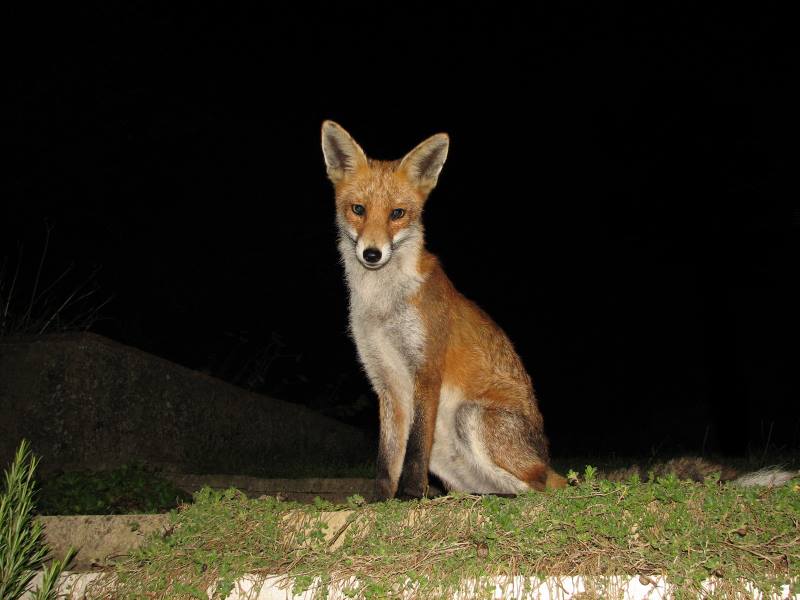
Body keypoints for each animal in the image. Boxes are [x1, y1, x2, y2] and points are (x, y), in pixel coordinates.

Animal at [320, 121, 796, 500]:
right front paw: (381, 501)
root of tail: (547, 462)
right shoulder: (386, 384)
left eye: (398, 214)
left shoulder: (427, 372)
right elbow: (387, 459)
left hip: (470, 416)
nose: (372, 254)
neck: (381, 305)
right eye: (358, 210)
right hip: (450, 449)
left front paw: (411, 497)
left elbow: (412, 455)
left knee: (541, 489)